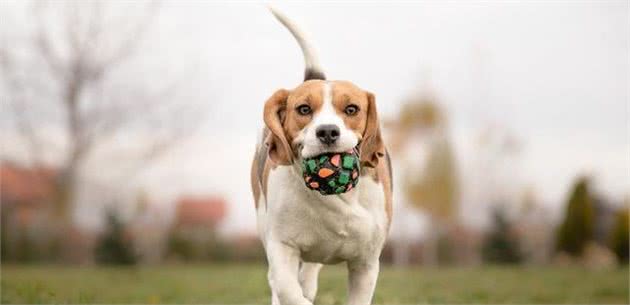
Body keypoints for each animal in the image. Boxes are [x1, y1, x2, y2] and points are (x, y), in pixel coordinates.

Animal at [253, 7, 396, 304]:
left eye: (352, 109)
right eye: (304, 109)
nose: (328, 132)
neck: (334, 199)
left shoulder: (366, 263)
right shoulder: (281, 247)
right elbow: (288, 290)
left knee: (309, 272)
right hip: (263, 220)